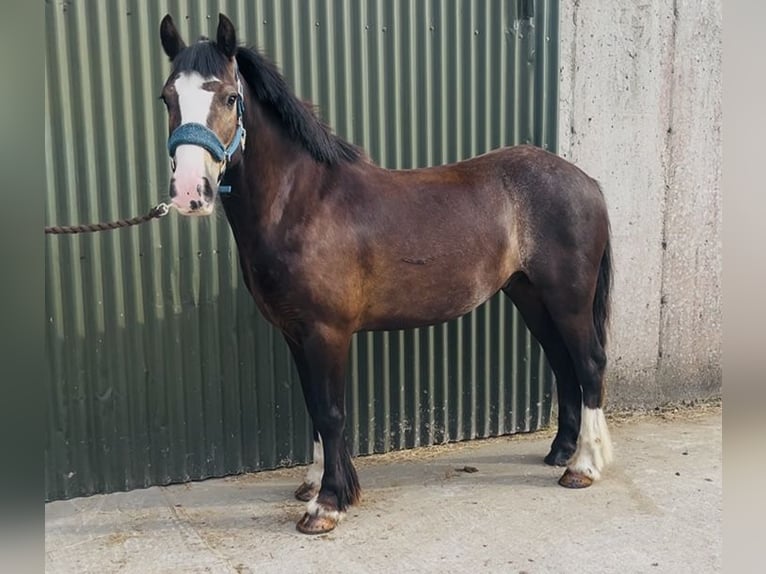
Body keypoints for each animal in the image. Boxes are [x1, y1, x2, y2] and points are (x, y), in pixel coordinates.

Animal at [158, 13, 613, 534]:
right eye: (167, 97)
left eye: (231, 97)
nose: (190, 190)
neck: (303, 204)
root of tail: (585, 181)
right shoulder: (296, 333)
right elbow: (313, 409)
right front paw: (314, 483)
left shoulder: (327, 332)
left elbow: (331, 413)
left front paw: (328, 504)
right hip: (531, 297)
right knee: (563, 365)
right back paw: (561, 452)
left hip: (569, 299)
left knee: (589, 364)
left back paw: (583, 467)